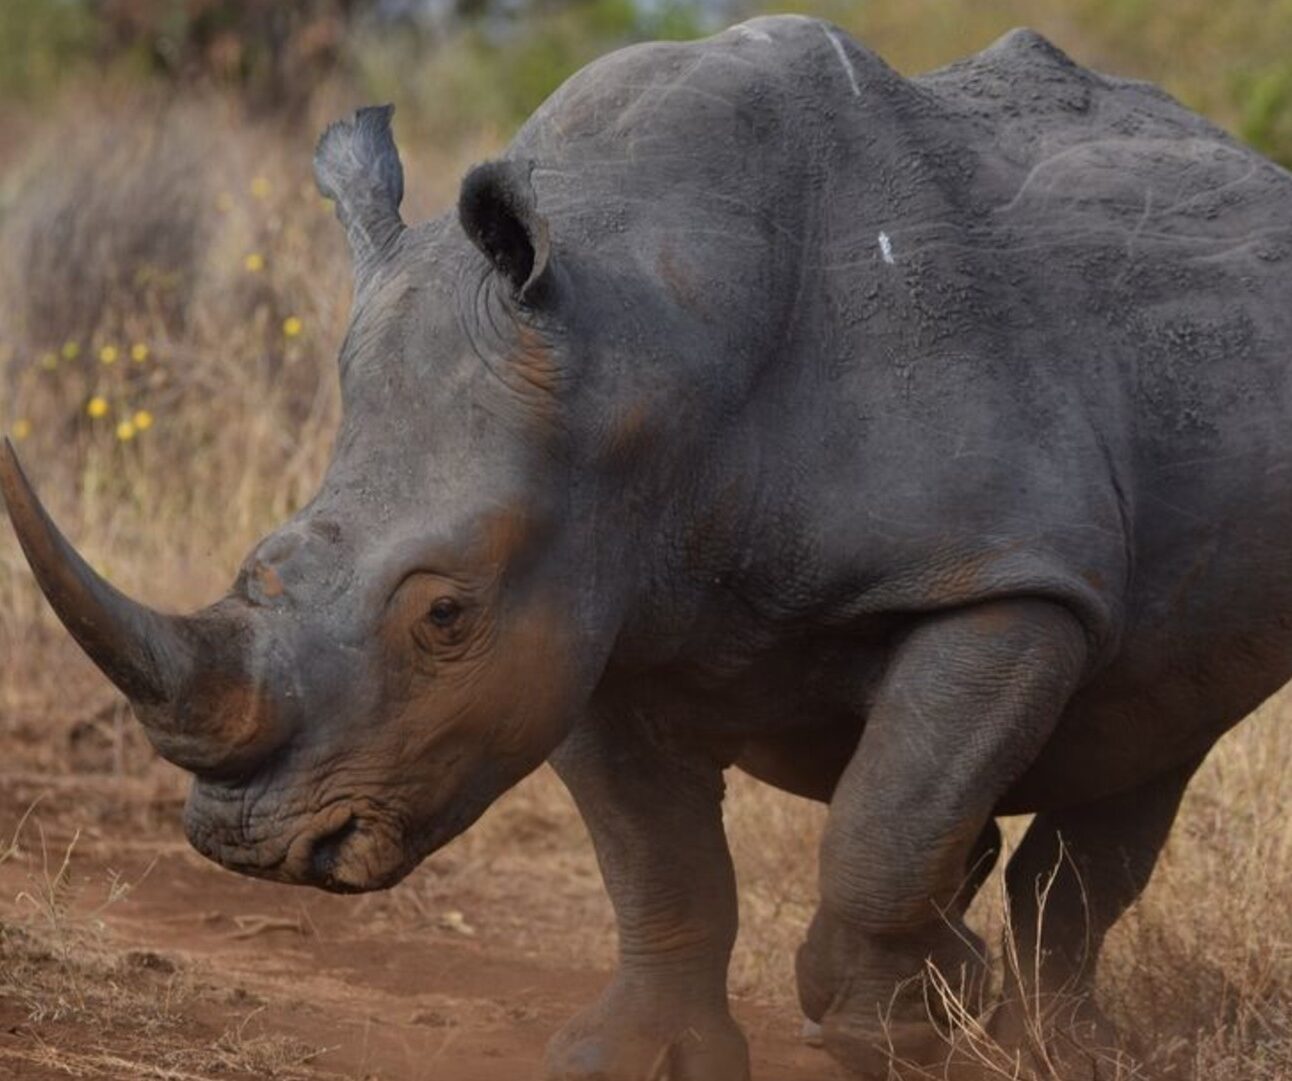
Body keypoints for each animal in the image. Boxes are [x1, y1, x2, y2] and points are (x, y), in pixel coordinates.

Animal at [2, 16, 1292, 1079]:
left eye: (443, 616)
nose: (252, 846)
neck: (645, 345)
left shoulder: (1004, 574)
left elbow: (879, 825)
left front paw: (896, 1026)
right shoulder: (580, 588)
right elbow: (659, 858)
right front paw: (631, 1057)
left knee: (1133, 757)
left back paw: (1042, 1043)